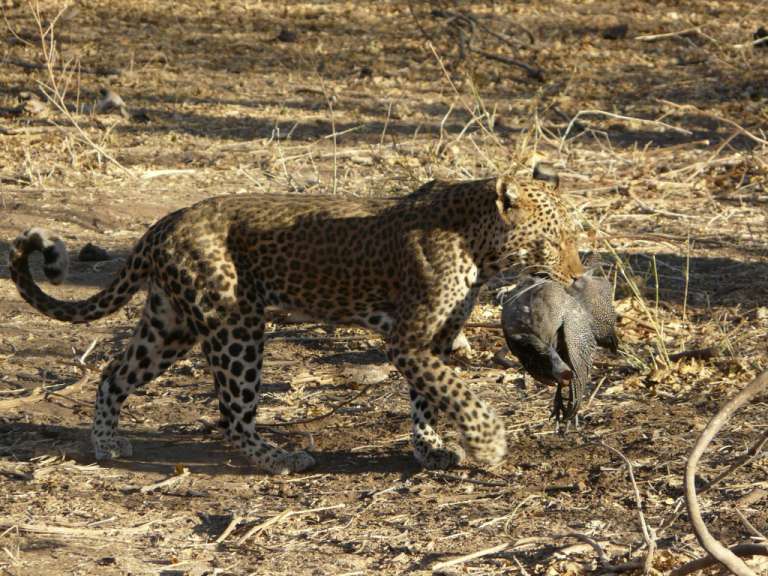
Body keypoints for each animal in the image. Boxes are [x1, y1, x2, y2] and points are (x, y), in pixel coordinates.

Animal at [9, 167, 584, 474]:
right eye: (555, 239)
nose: (579, 277)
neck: (479, 245)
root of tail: (165, 222)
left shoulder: (434, 341)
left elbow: (430, 396)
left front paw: (430, 448)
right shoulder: (409, 339)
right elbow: (458, 391)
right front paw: (488, 443)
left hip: (170, 325)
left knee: (113, 374)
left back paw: (106, 443)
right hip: (235, 325)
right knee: (232, 414)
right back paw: (278, 458)